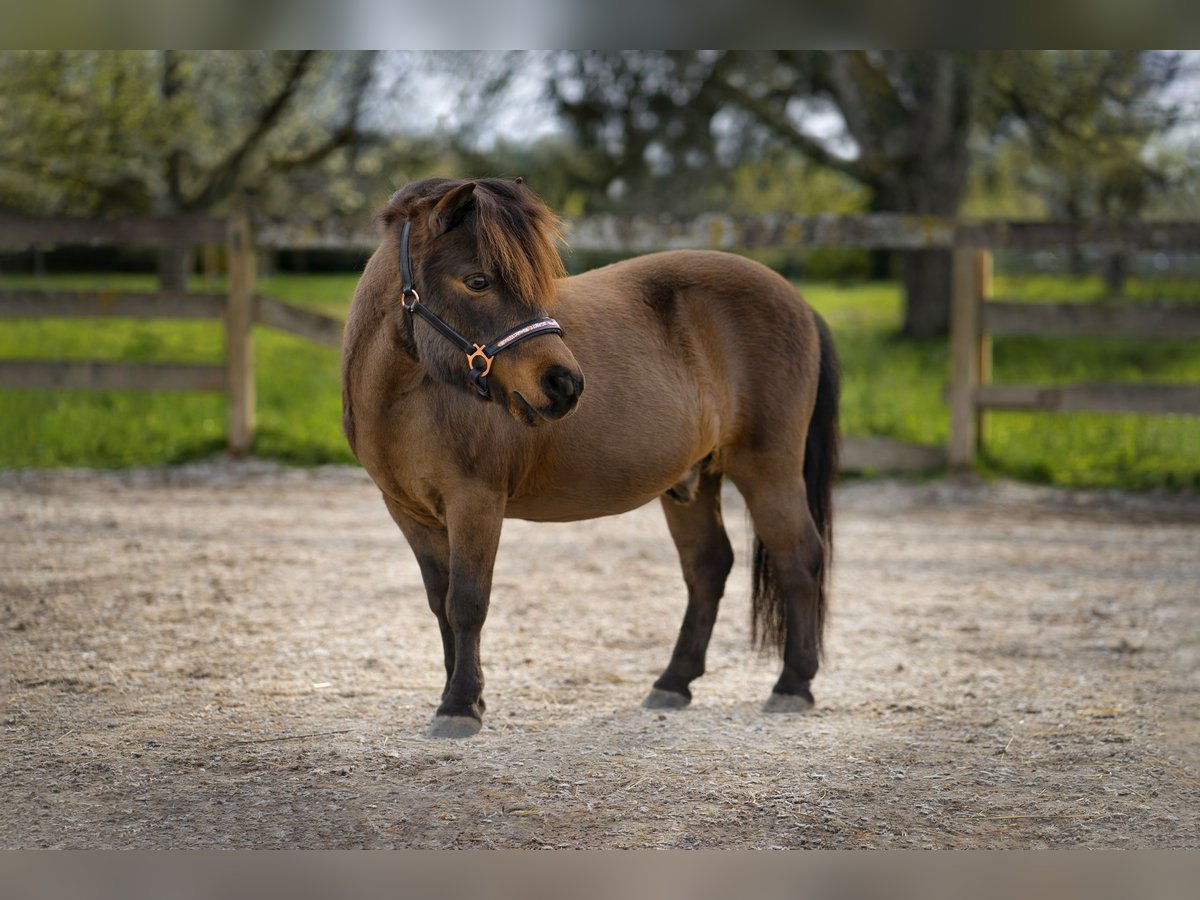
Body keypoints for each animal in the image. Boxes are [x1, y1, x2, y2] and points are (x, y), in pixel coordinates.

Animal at [343, 177, 840, 739]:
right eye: (477, 280)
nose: (565, 384)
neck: (407, 398)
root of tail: (799, 302)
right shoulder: (410, 513)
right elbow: (440, 605)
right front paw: (462, 695)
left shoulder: (476, 503)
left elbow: (467, 602)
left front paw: (460, 706)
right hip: (693, 483)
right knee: (708, 566)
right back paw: (673, 683)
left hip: (768, 468)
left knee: (799, 556)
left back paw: (792, 685)